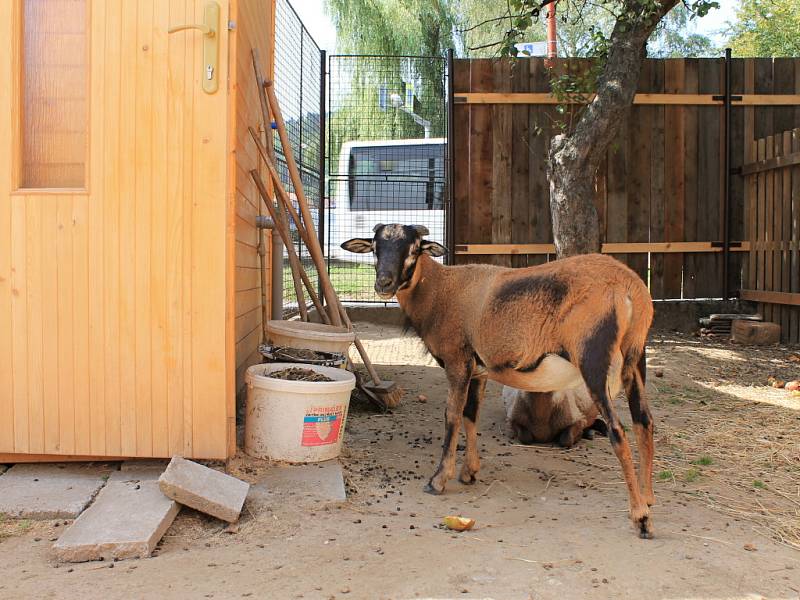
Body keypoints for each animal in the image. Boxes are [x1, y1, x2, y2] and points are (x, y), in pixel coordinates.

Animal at [344, 225, 656, 540]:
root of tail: (630, 287)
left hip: (594, 357)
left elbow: (452, 416)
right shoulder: (478, 370)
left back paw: (640, 518)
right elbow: (471, 416)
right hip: (635, 357)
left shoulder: (457, 361)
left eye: (414, 248)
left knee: (618, 431)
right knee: (644, 422)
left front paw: (438, 479)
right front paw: (469, 472)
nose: (383, 283)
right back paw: (648, 499)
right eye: (375, 248)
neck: (440, 290)